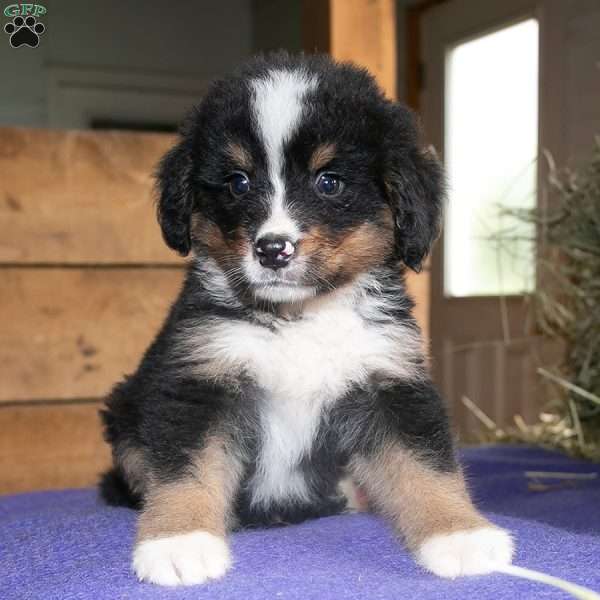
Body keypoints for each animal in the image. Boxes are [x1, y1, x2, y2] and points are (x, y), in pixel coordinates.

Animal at [101, 52, 512, 584]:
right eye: (238, 182)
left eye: (329, 181)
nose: (273, 249)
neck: (300, 318)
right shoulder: (202, 380)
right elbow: (185, 467)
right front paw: (179, 541)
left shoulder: (388, 380)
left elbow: (426, 464)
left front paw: (460, 534)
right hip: (125, 409)